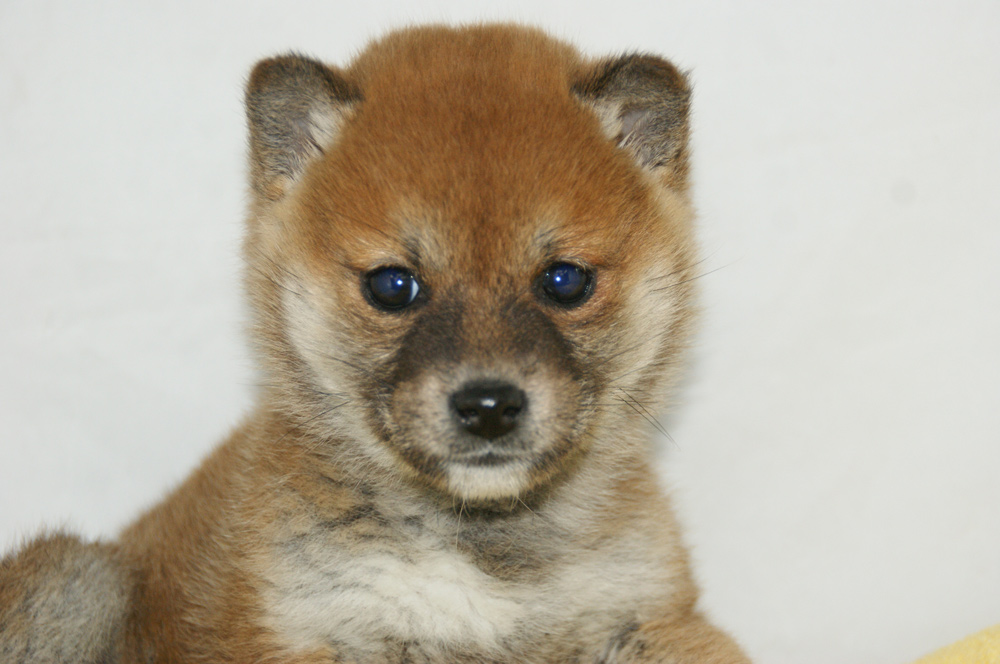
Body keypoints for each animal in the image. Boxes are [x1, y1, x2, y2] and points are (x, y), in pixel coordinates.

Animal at [0, 23, 752, 660]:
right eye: (393, 286)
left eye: (564, 281)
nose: (488, 406)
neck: (485, 555)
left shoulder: (654, 618)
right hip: (73, 579)